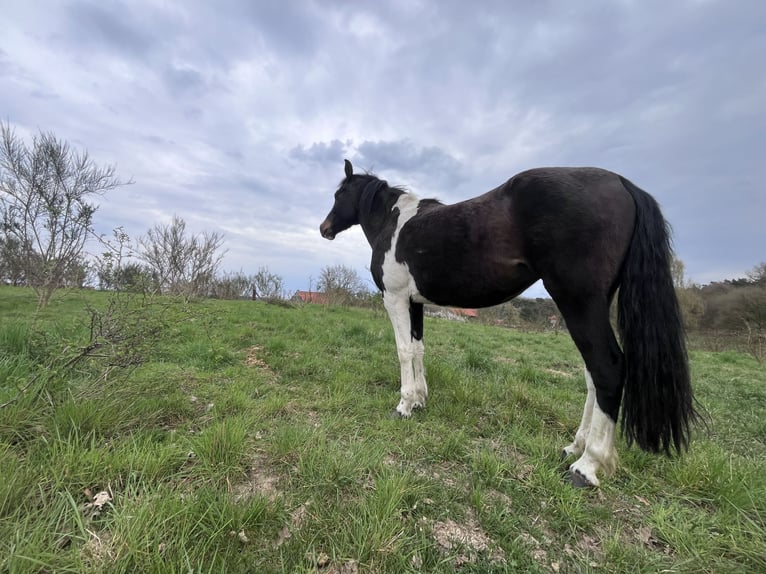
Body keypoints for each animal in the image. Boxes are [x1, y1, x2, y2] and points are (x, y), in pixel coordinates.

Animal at [320, 159, 696, 487]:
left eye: (340, 194)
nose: (324, 229)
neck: (396, 223)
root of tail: (622, 183)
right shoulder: (416, 304)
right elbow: (419, 349)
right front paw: (421, 400)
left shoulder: (396, 299)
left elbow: (403, 351)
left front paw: (404, 406)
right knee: (593, 375)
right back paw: (574, 447)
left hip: (578, 302)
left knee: (607, 368)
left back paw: (586, 466)